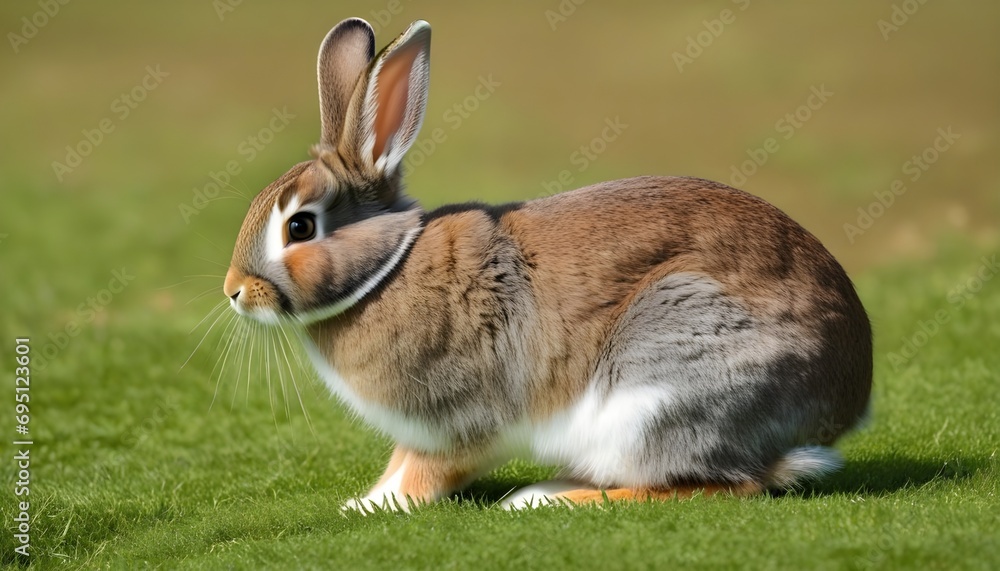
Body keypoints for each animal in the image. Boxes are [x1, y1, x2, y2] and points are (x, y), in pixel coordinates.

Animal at [223, 17, 872, 512]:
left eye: (300, 226)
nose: (233, 291)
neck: (387, 268)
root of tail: (842, 407)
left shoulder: (459, 421)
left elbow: (428, 472)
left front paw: (373, 507)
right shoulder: (418, 432)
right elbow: (400, 461)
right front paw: (365, 498)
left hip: (660, 387)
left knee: (719, 484)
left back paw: (543, 498)